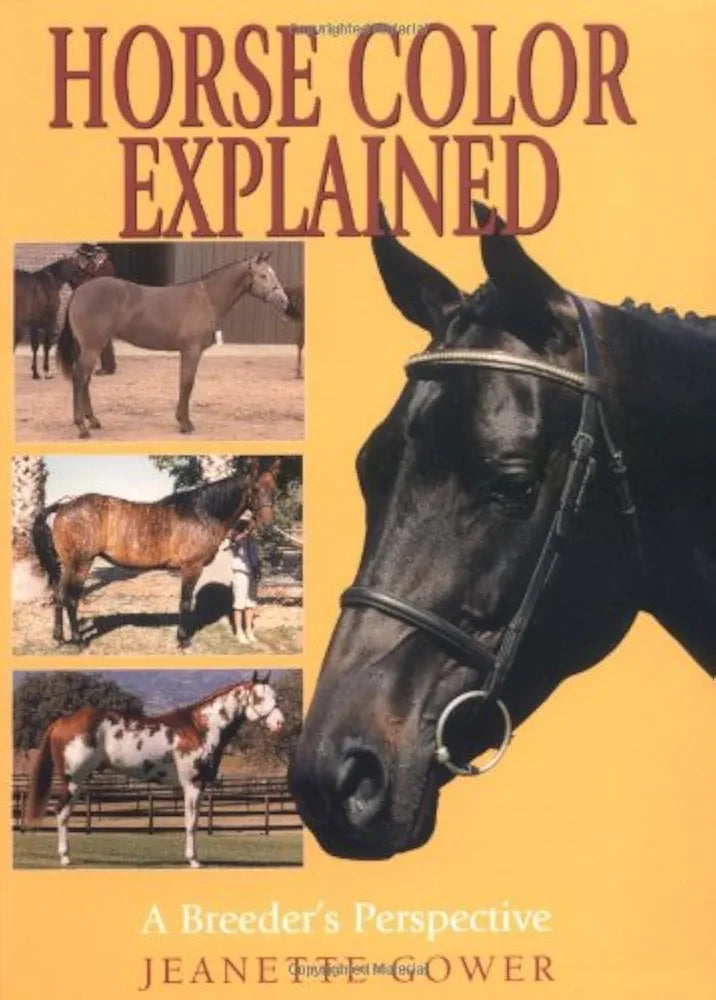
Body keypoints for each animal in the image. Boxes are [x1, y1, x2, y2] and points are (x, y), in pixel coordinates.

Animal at [23, 673, 284, 867]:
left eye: (275, 696)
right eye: (258, 698)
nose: (279, 723)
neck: (199, 728)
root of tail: (62, 721)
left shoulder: (198, 786)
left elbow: (195, 820)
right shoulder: (192, 784)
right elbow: (191, 821)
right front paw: (193, 860)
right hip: (73, 780)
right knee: (61, 812)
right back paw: (65, 858)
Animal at [31, 462, 279, 648]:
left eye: (273, 489)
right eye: (254, 489)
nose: (267, 525)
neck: (201, 513)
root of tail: (64, 506)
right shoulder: (191, 567)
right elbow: (185, 602)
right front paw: (183, 640)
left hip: (67, 565)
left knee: (59, 597)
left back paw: (59, 638)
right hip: (81, 564)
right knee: (71, 599)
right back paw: (78, 640)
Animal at [56, 252, 289, 438]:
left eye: (273, 274)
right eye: (263, 275)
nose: (284, 301)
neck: (206, 298)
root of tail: (79, 291)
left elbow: (184, 384)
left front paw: (182, 420)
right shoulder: (191, 351)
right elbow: (187, 384)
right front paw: (185, 424)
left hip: (90, 347)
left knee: (85, 380)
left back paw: (93, 421)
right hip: (92, 347)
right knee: (80, 378)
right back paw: (82, 427)